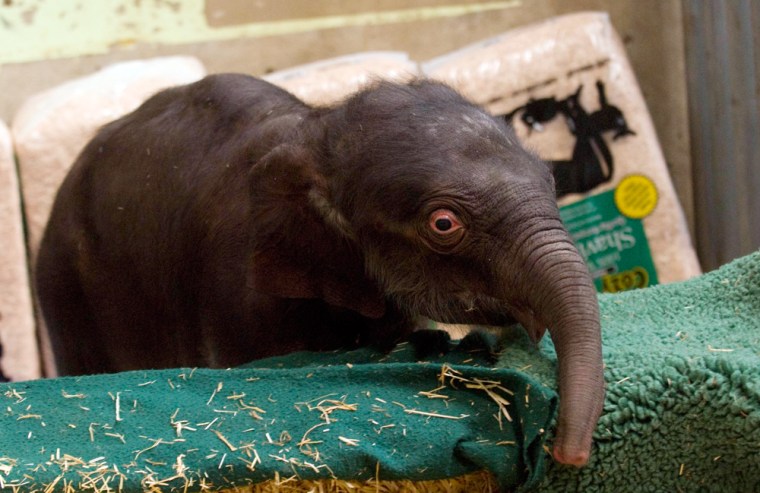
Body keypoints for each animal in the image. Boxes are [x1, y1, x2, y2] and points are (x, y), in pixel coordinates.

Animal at [37, 74, 604, 466]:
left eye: (550, 178)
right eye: (444, 223)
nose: (567, 454)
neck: (315, 129)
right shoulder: (235, 298)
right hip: (66, 298)